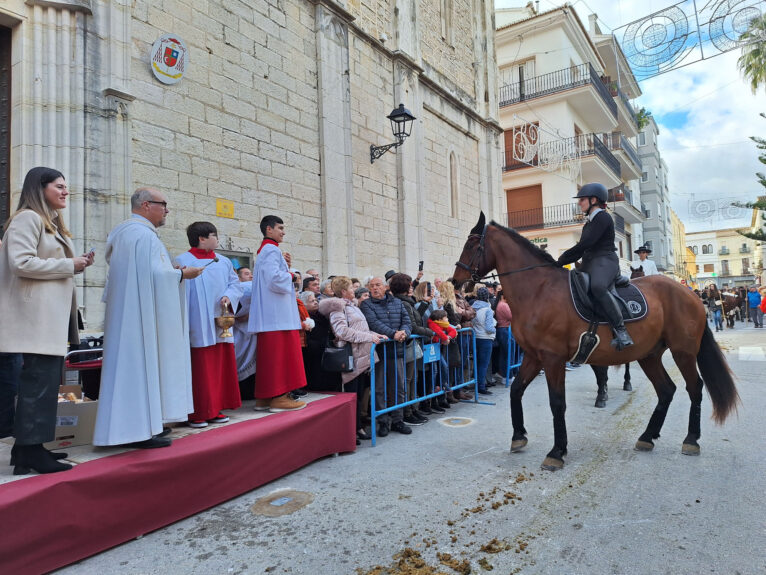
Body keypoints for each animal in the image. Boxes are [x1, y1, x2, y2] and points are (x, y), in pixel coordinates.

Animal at [452, 214, 740, 470]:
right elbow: (516, 390)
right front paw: (518, 437)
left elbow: (557, 402)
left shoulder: (553, 358)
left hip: (683, 352)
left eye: (471, 245)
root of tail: (691, 295)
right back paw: (647, 437)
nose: (455, 281)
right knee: (666, 389)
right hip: (649, 355)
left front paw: (557, 452)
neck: (539, 290)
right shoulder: (534, 356)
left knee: (694, 388)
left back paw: (691, 440)